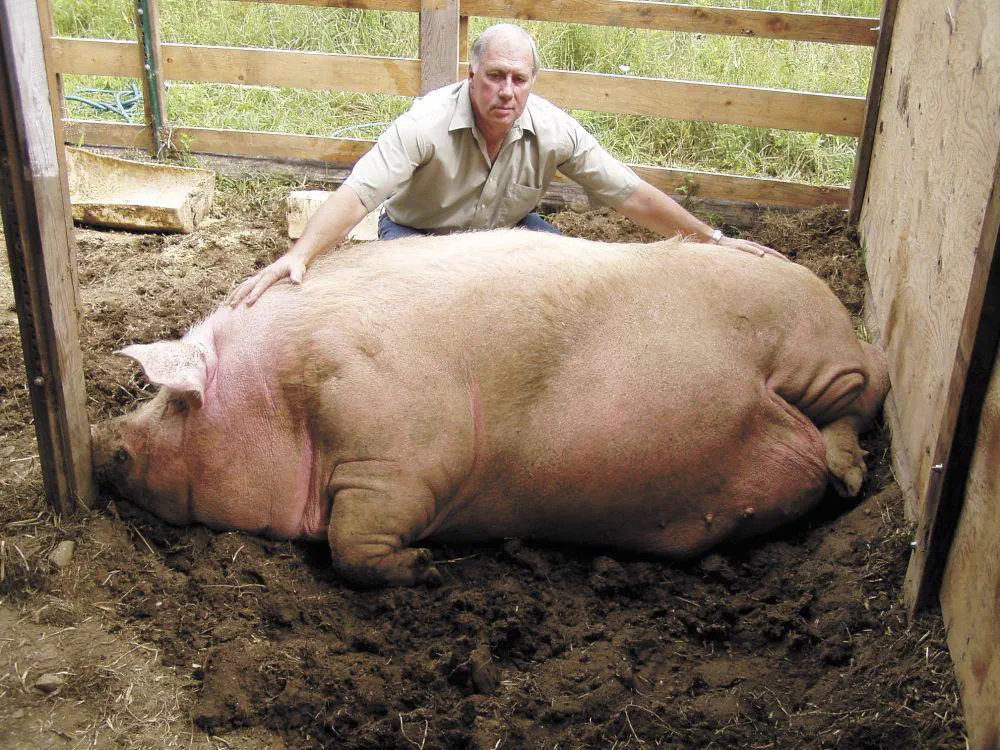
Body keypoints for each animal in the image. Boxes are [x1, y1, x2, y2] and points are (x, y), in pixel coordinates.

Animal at [92, 230, 889, 587]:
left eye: (175, 403)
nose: (102, 441)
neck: (287, 393)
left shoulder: (400, 460)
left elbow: (353, 545)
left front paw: (428, 569)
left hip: (815, 356)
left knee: (867, 390)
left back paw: (849, 477)